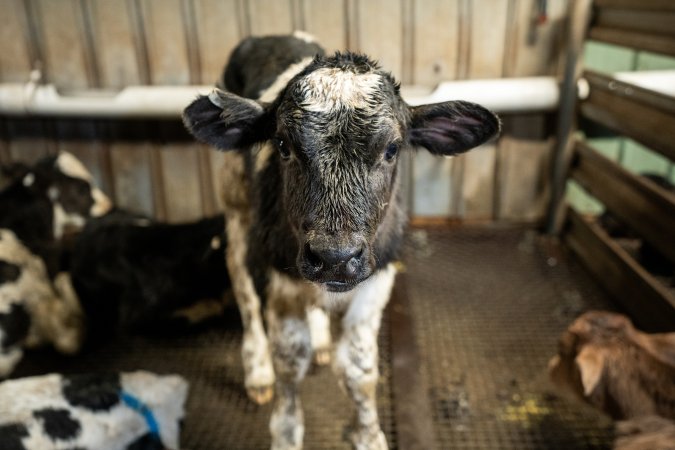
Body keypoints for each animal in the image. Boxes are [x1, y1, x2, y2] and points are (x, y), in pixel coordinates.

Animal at [182, 32, 500, 450]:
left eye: (392, 149)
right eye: (282, 145)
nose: (335, 257)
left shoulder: (377, 279)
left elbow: (358, 369)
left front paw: (370, 435)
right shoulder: (283, 282)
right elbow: (289, 365)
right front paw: (285, 430)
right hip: (235, 203)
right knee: (243, 286)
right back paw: (258, 371)